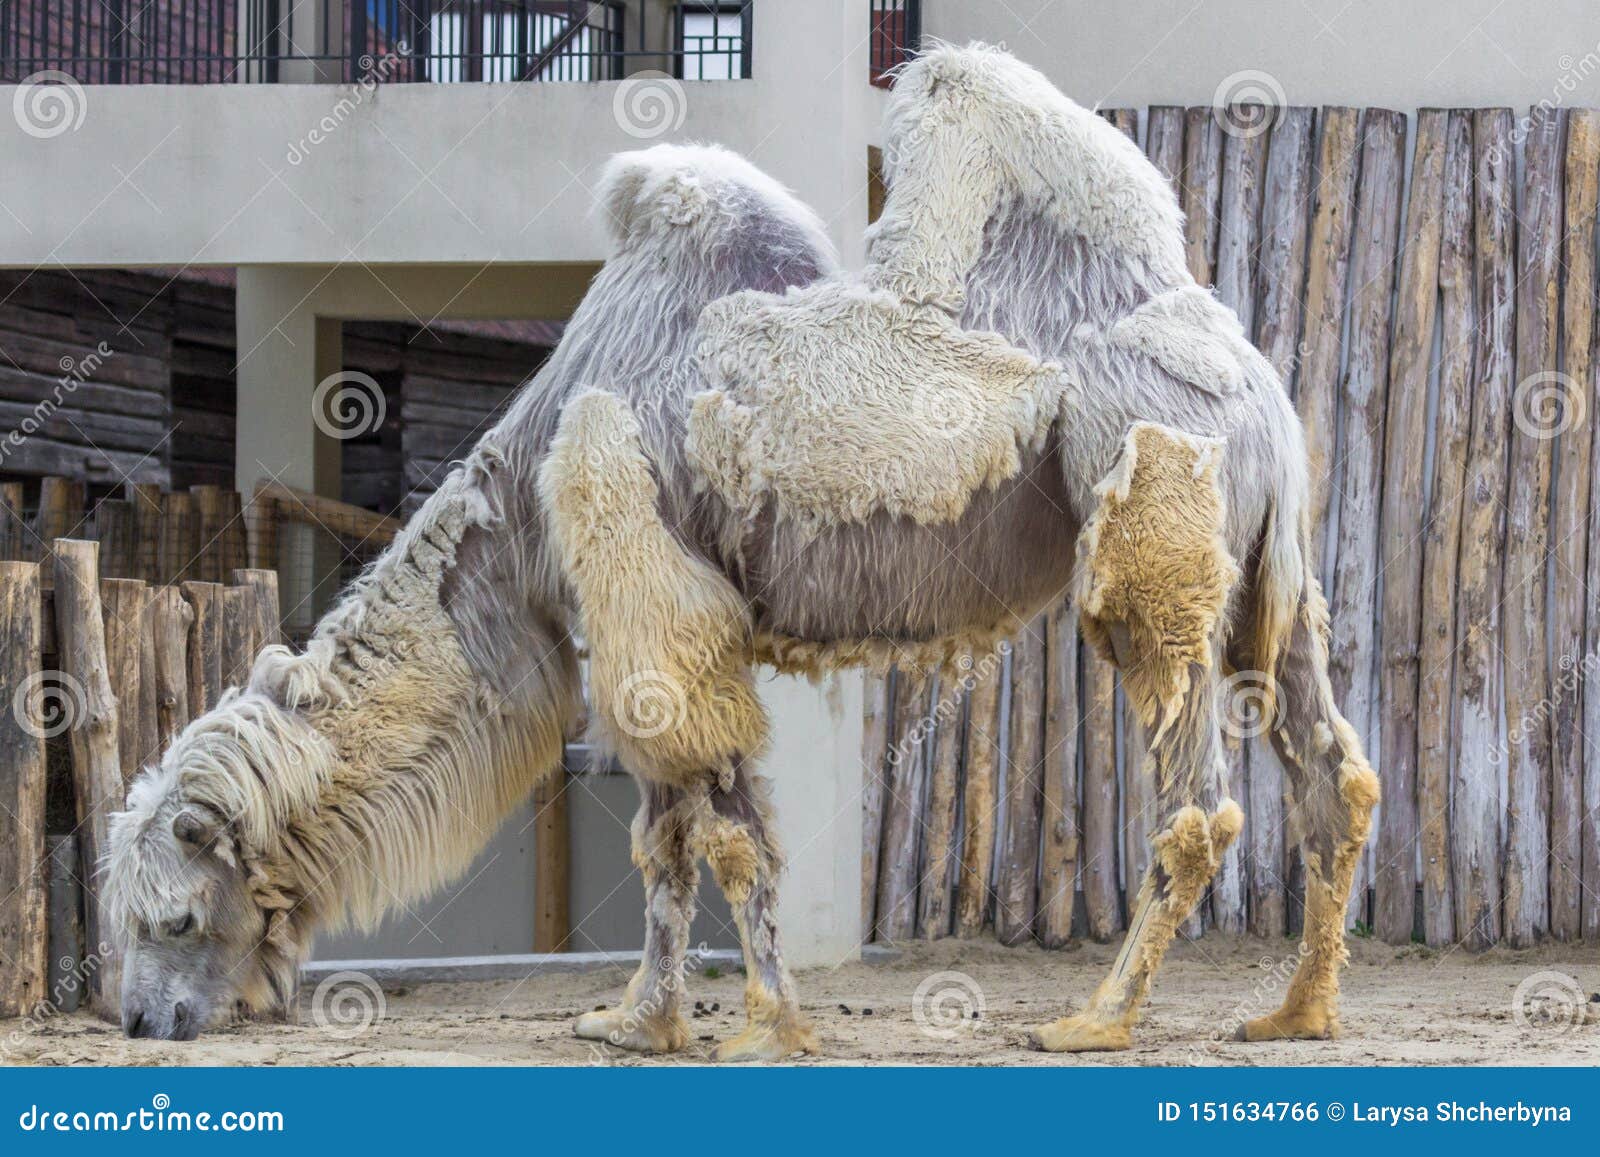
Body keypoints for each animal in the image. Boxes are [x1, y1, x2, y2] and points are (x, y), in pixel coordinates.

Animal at [106, 43, 1376, 1056]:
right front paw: (637, 1018)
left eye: (172, 914)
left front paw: (761, 1026)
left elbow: (719, 837)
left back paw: (1096, 1018)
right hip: (1266, 568)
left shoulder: (648, 600)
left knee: (1197, 798)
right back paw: (1294, 1010)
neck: (519, 506)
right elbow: (672, 841)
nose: (139, 1015)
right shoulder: (654, 633)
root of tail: (1257, 382)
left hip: (1149, 512)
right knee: (1333, 765)